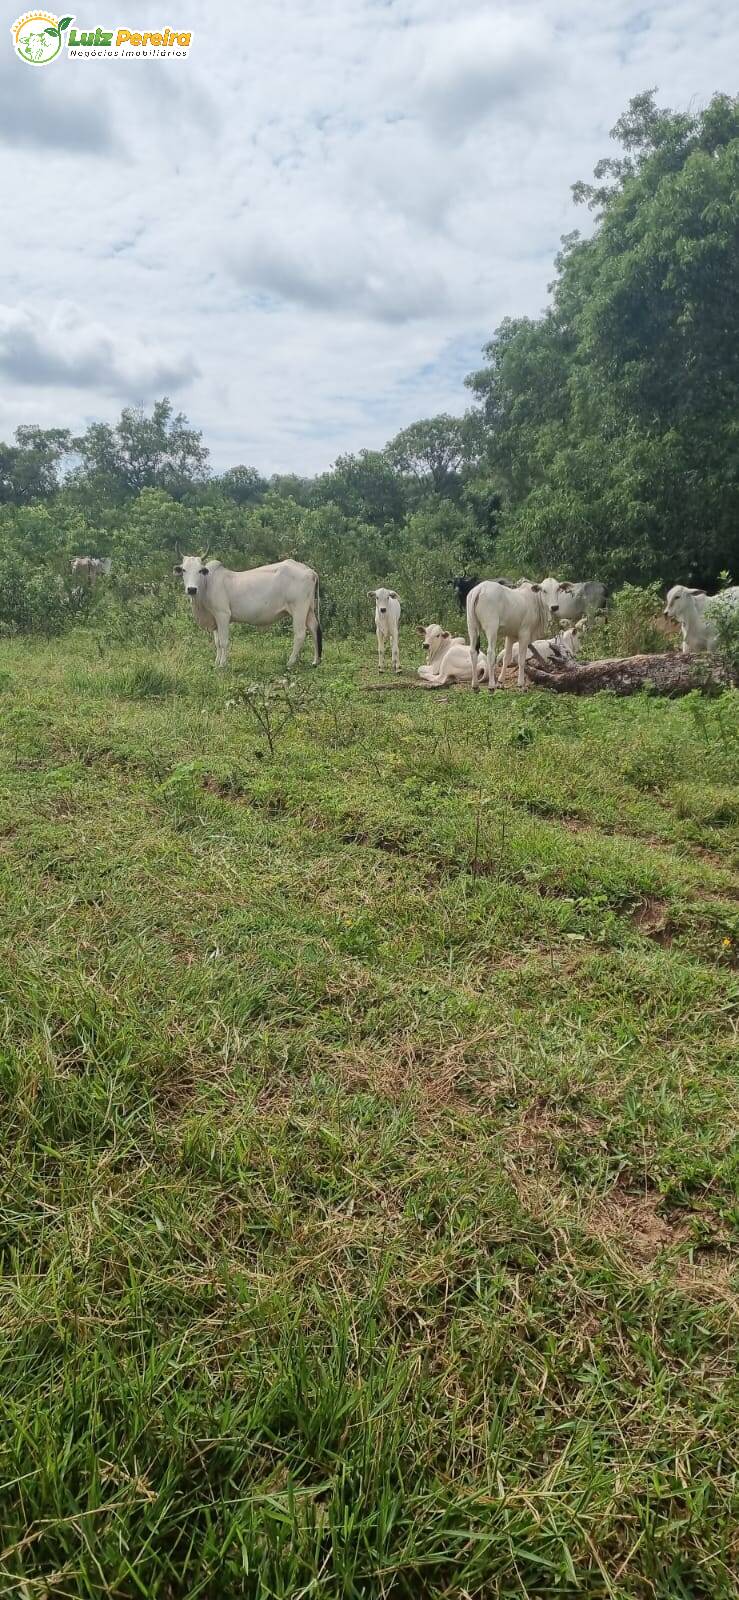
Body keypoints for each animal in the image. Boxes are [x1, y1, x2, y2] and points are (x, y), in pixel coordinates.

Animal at [175, 556, 323, 668]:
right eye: (184, 570)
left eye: (200, 570)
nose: (191, 589)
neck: (208, 583)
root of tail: (310, 571)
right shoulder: (214, 620)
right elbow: (217, 643)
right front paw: (216, 663)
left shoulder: (222, 615)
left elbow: (223, 642)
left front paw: (222, 665)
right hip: (309, 609)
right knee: (314, 628)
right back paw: (315, 661)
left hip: (299, 609)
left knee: (300, 634)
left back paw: (290, 662)